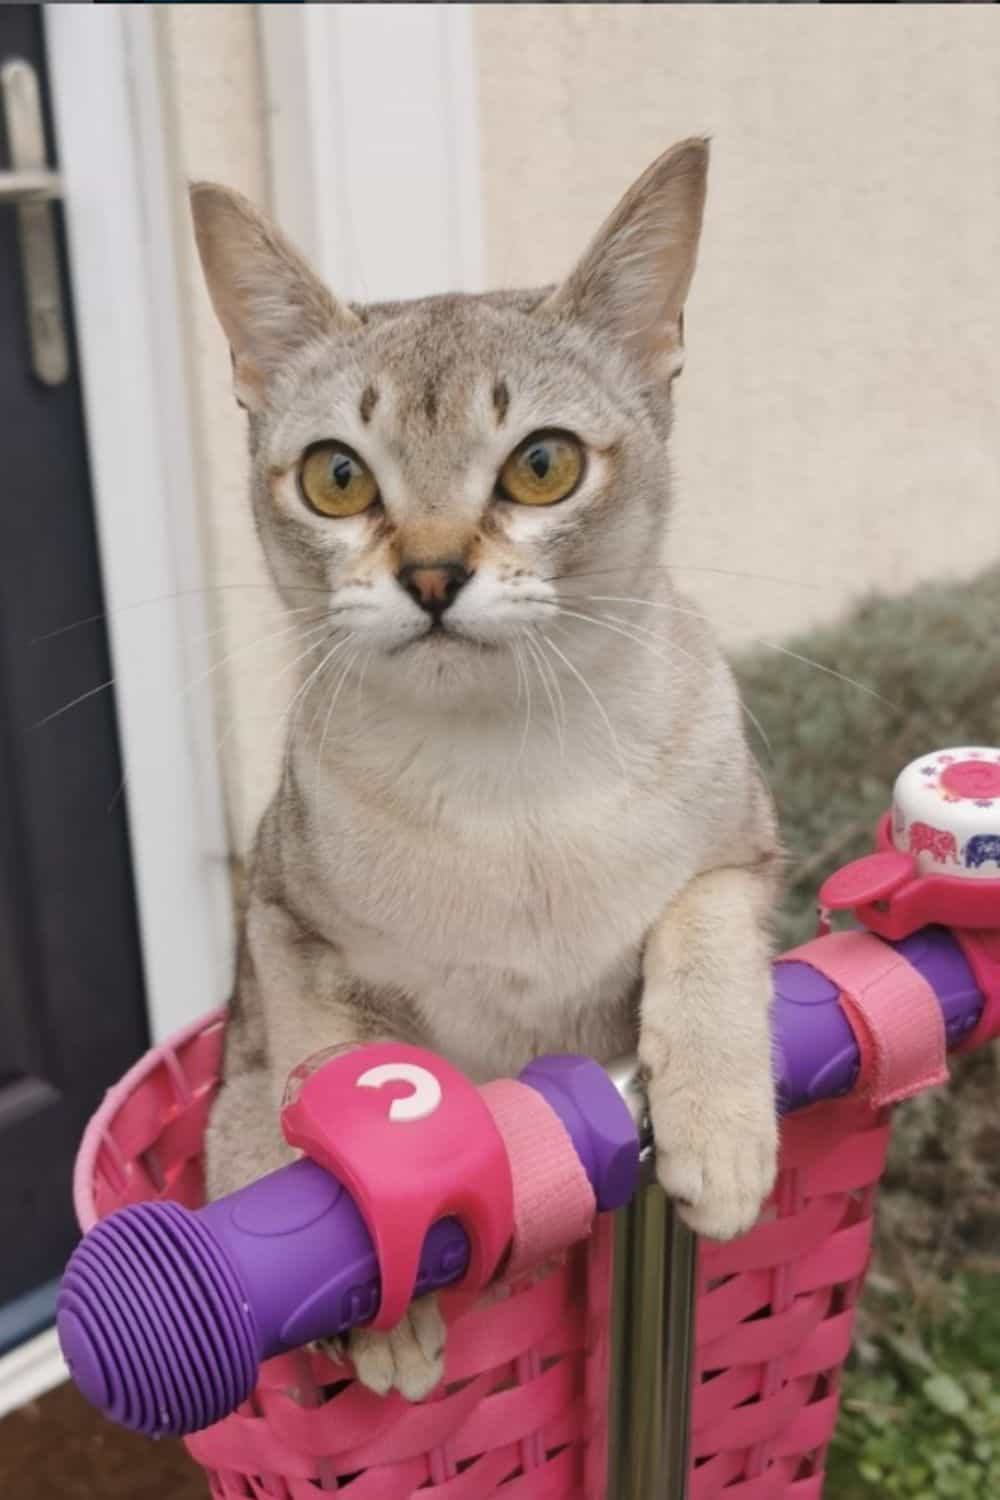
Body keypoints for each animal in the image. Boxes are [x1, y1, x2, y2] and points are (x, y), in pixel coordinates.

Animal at [189, 135, 779, 1398]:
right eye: (337, 478)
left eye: (543, 464)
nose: (429, 574)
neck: (509, 786)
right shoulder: (285, 925)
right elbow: (341, 1072)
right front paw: (385, 1298)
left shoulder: (747, 852)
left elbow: (702, 931)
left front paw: (719, 1131)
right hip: (232, 1103)